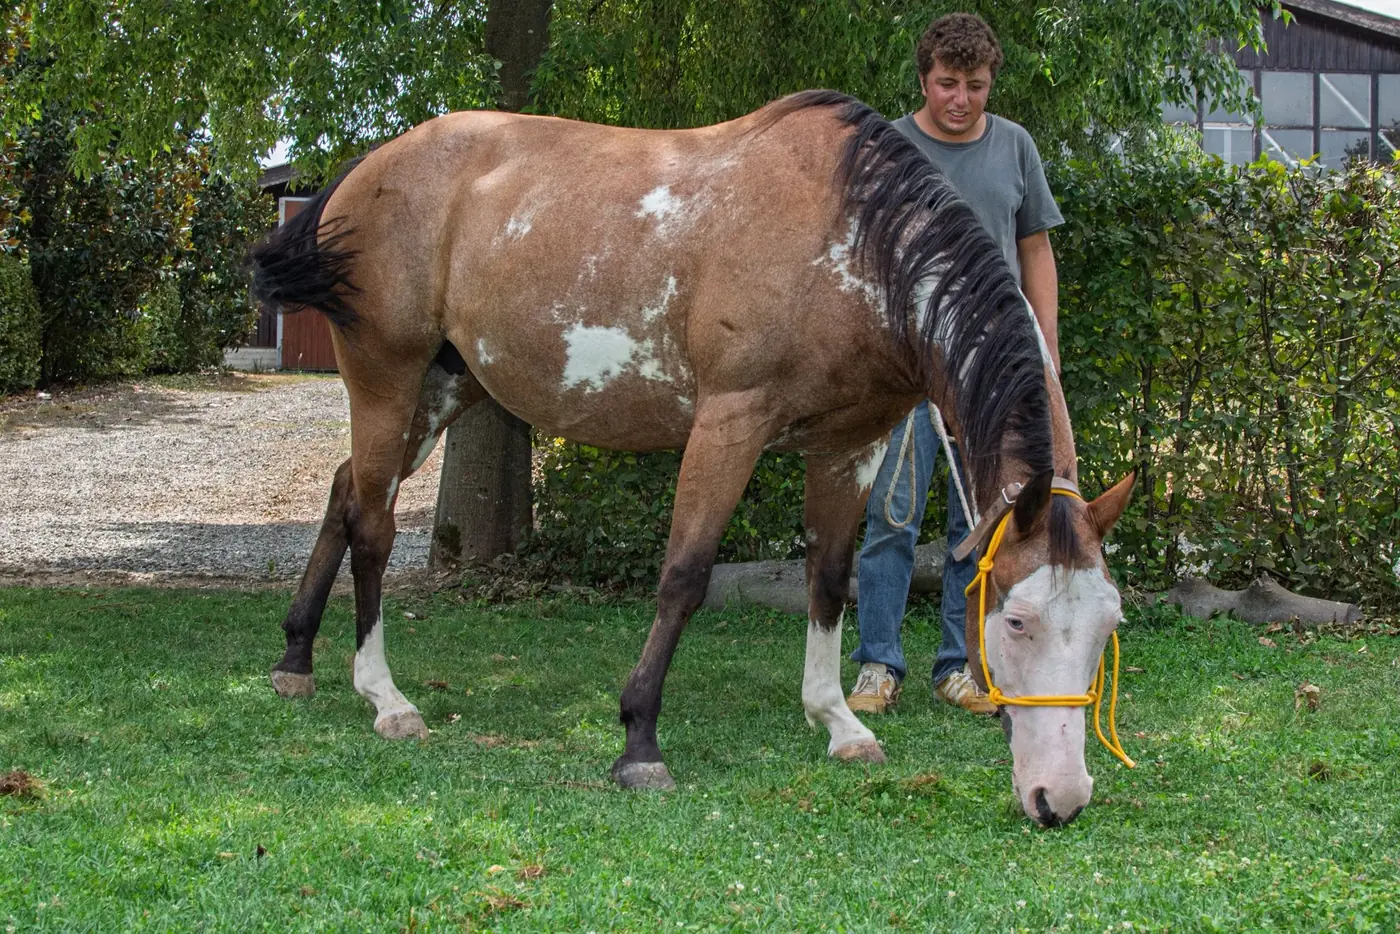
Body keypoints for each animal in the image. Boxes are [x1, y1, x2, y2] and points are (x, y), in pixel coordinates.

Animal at [249, 89, 1134, 827]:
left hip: (443, 388)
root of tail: (368, 168)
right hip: (386, 378)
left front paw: (837, 721)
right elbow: (684, 576)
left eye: (1107, 625)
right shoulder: (729, 422)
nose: (1060, 799)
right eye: (1015, 621)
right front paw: (638, 743)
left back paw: (295, 658)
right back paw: (385, 698)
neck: (854, 244)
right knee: (373, 527)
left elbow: (830, 579)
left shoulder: (853, 445)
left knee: (346, 494)